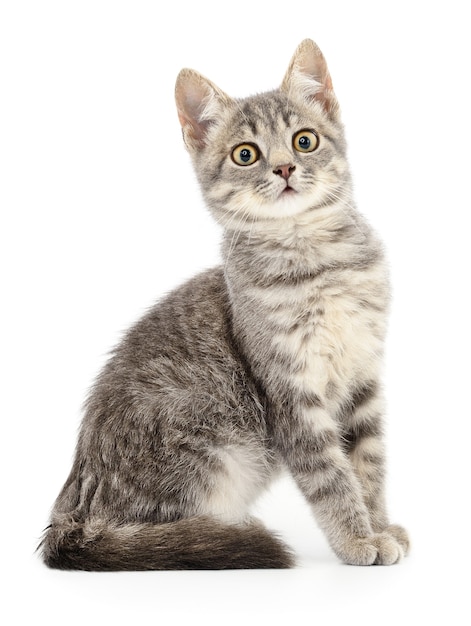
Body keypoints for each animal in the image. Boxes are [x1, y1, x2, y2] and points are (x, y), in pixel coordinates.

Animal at [39, 37, 410, 564]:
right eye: (245, 154)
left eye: (304, 141)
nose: (284, 167)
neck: (316, 264)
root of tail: (69, 510)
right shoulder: (290, 392)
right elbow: (330, 476)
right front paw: (357, 539)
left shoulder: (363, 375)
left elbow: (368, 464)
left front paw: (378, 526)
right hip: (206, 445)